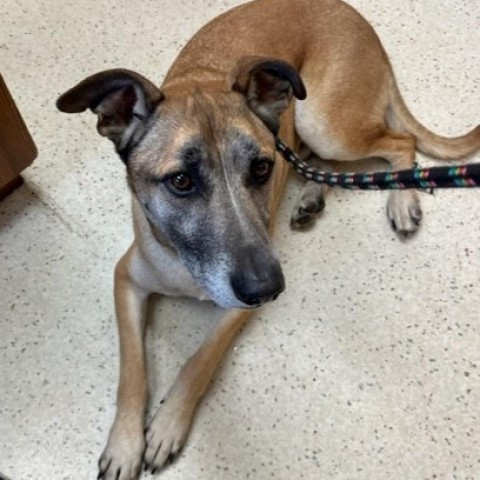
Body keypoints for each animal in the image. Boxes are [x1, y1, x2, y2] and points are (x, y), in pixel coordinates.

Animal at [57, 0, 480, 478]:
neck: (185, 264)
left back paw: (401, 197)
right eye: (181, 181)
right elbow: (131, 370)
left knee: (398, 141)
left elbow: (198, 362)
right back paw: (314, 195)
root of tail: (352, 13)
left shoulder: (235, 310)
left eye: (261, 168)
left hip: (321, 120)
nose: (267, 288)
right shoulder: (126, 279)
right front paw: (125, 443)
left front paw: (167, 425)